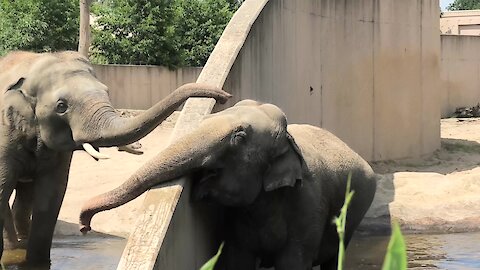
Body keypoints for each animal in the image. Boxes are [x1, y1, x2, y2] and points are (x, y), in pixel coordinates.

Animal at [0, 50, 231, 264]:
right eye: (61, 106)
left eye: (107, 91)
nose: (224, 96)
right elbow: (4, 189)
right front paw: (12, 256)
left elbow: (51, 195)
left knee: (25, 196)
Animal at [80, 99, 376, 270]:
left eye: (239, 136)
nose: (85, 226)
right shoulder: (237, 222)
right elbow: (238, 260)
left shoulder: (309, 208)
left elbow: (293, 262)